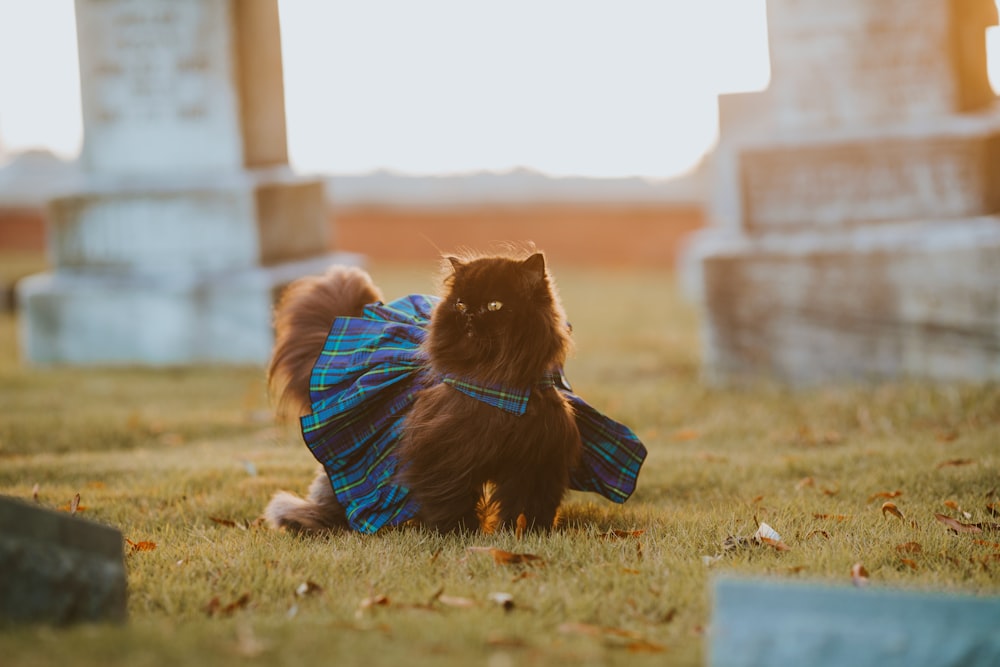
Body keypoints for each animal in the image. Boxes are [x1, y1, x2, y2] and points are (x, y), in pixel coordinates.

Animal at [262, 248, 644, 536]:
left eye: (494, 306)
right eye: (460, 305)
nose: (469, 315)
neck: (498, 385)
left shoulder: (537, 455)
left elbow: (528, 504)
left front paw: (525, 534)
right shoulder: (446, 453)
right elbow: (452, 498)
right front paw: (461, 533)